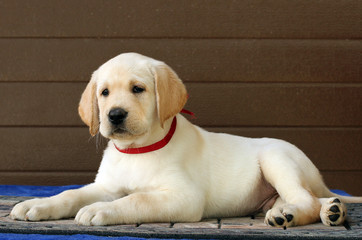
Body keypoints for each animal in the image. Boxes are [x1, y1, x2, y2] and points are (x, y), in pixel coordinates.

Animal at [11, 52, 362, 227]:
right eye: (104, 92)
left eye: (137, 89)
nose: (114, 115)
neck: (138, 151)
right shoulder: (107, 186)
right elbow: (70, 194)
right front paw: (36, 204)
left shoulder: (183, 197)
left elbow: (137, 199)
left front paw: (100, 210)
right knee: (314, 199)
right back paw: (330, 211)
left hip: (276, 159)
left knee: (305, 199)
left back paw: (293, 215)